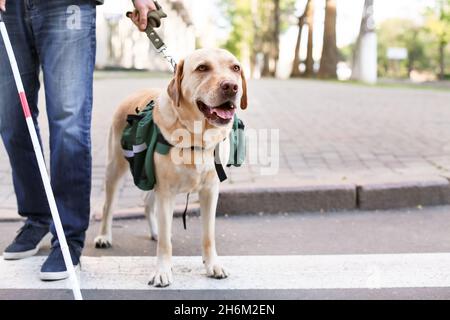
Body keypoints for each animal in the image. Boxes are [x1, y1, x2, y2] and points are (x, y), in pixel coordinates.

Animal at [94, 48, 248, 288]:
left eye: (236, 68)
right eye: (202, 68)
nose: (231, 86)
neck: (196, 136)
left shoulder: (210, 191)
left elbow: (208, 235)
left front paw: (212, 265)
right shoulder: (166, 192)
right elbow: (166, 243)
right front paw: (162, 271)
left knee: (147, 204)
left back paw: (155, 231)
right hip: (115, 168)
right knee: (108, 206)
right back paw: (104, 236)